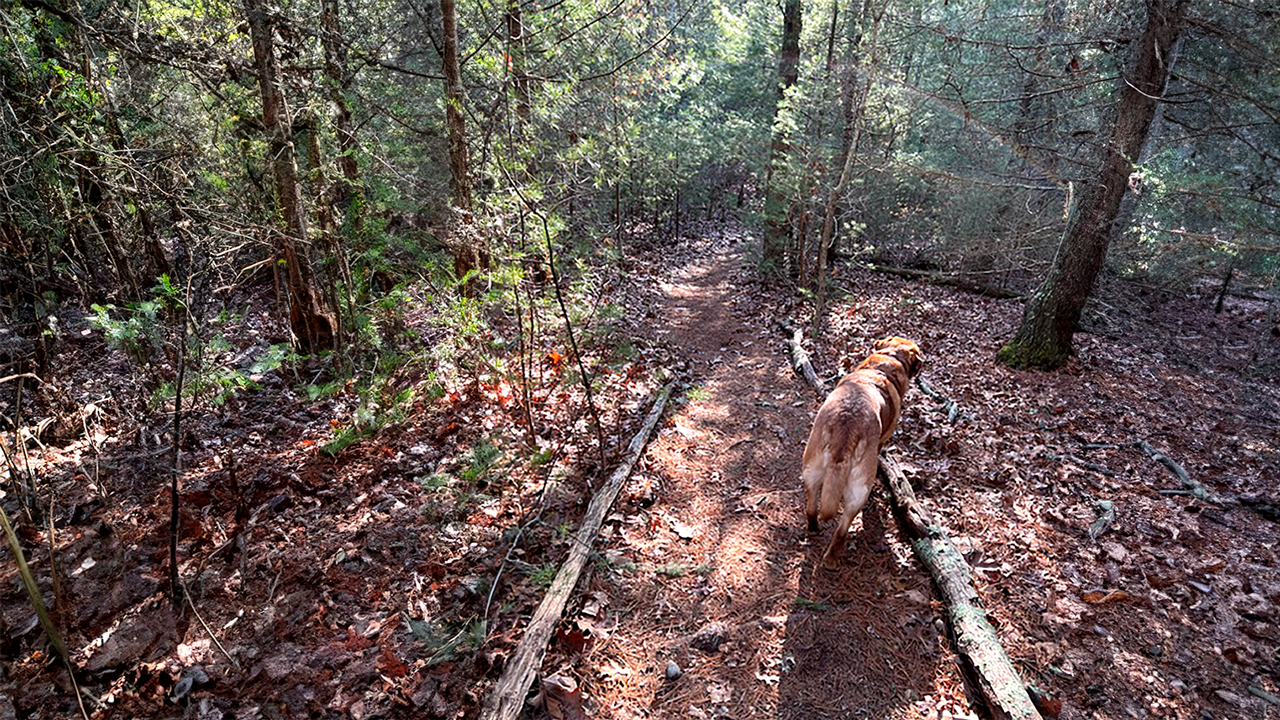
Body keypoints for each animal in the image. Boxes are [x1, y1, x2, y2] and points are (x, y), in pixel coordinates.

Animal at [798, 335, 921, 566]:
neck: (886, 362)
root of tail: (846, 427)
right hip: (859, 490)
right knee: (842, 530)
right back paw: (831, 560)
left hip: (811, 469)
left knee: (811, 507)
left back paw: (813, 529)